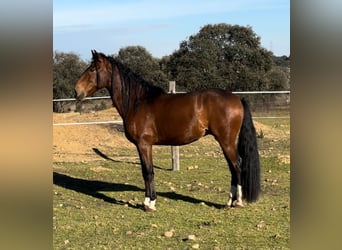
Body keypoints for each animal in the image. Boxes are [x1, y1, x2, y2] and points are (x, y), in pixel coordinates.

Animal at [75, 50, 260, 211]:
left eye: (92, 69)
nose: (76, 91)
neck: (138, 102)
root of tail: (237, 98)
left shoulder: (144, 145)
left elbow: (148, 172)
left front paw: (149, 204)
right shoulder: (142, 146)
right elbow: (146, 171)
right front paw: (148, 201)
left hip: (226, 141)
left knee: (237, 166)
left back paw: (238, 202)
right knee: (233, 168)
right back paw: (229, 201)